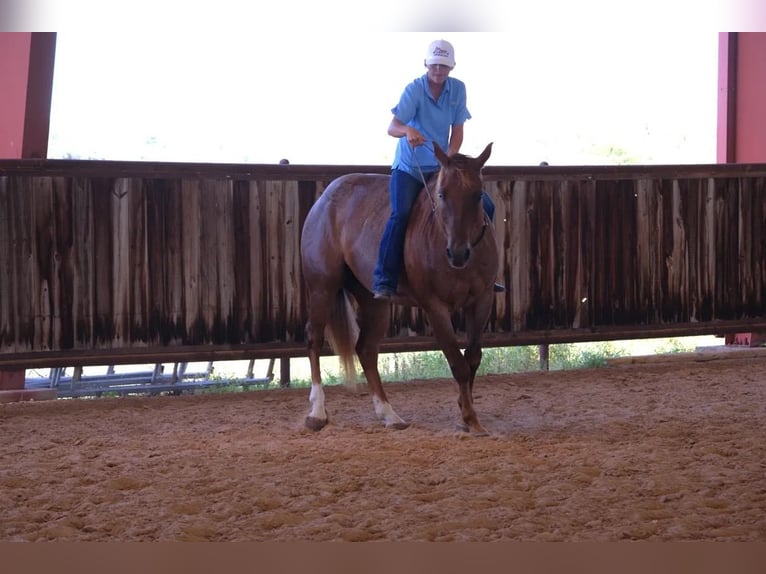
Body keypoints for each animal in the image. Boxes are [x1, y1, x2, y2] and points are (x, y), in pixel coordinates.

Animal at [299, 142, 499, 435]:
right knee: (314, 338)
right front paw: (471, 419)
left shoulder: (482, 300)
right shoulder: (435, 307)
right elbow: (458, 363)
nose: (458, 253)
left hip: (374, 301)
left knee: (366, 350)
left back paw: (389, 414)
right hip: (322, 287)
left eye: (477, 195)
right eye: (442, 194)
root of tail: (325, 198)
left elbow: (472, 358)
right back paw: (317, 413)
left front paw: (466, 413)